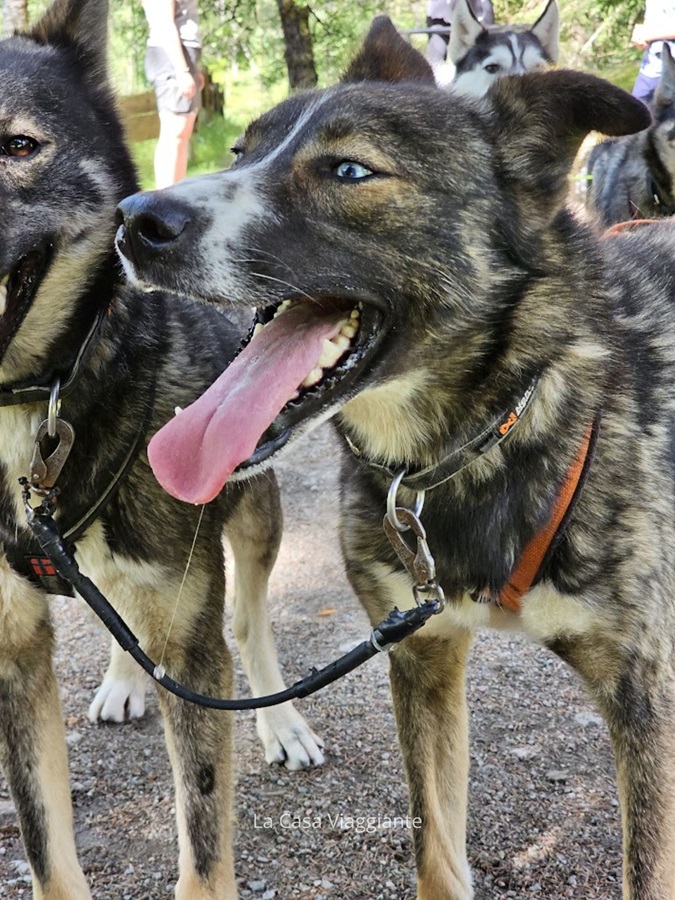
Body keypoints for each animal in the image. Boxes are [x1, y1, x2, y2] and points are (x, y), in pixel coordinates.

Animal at [0, 0, 323, 897]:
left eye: (18, 146)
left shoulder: (192, 640)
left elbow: (204, 843)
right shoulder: (13, 655)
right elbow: (46, 847)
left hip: (252, 519)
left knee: (250, 620)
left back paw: (282, 721)